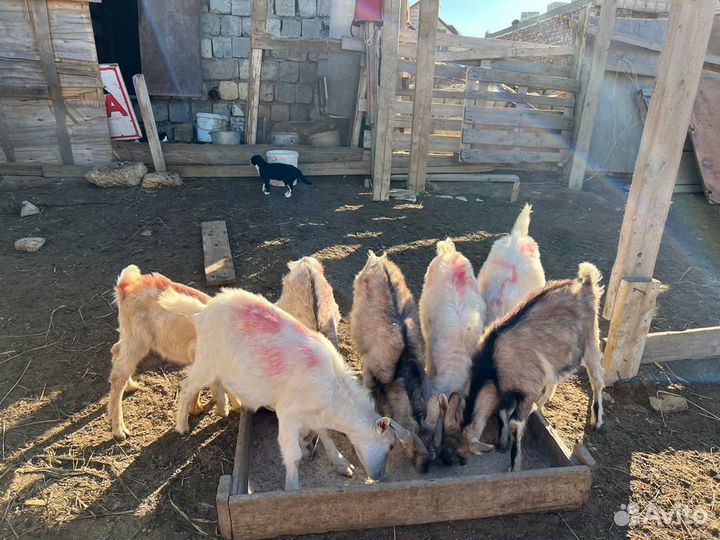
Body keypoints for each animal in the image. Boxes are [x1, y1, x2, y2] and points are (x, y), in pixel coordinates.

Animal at [107, 265, 239, 440]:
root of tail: (127, 285)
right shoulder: (199, 353)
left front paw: (197, 408)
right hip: (137, 340)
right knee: (117, 377)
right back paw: (120, 430)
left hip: (128, 334)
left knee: (116, 351)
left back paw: (131, 386)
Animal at [159, 286, 414, 490]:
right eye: (391, 445)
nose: (378, 476)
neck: (333, 394)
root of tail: (203, 310)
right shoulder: (288, 414)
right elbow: (293, 455)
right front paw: (292, 487)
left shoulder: (313, 414)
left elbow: (325, 435)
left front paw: (342, 463)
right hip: (207, 361)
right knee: (187, 386)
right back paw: (182, 426)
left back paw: (228, 407)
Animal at [462, 263, 606, 471]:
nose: (459, 462)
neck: (492, 363)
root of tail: (586, 284)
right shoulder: (507, 391)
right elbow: (503, 414)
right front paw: (503, 443)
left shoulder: (526, 390)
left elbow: (514, 422)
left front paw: (514, 464)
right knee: (554, 375)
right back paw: (542, 403)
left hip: (591, 342)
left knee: (597, 380)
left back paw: (596, 421)